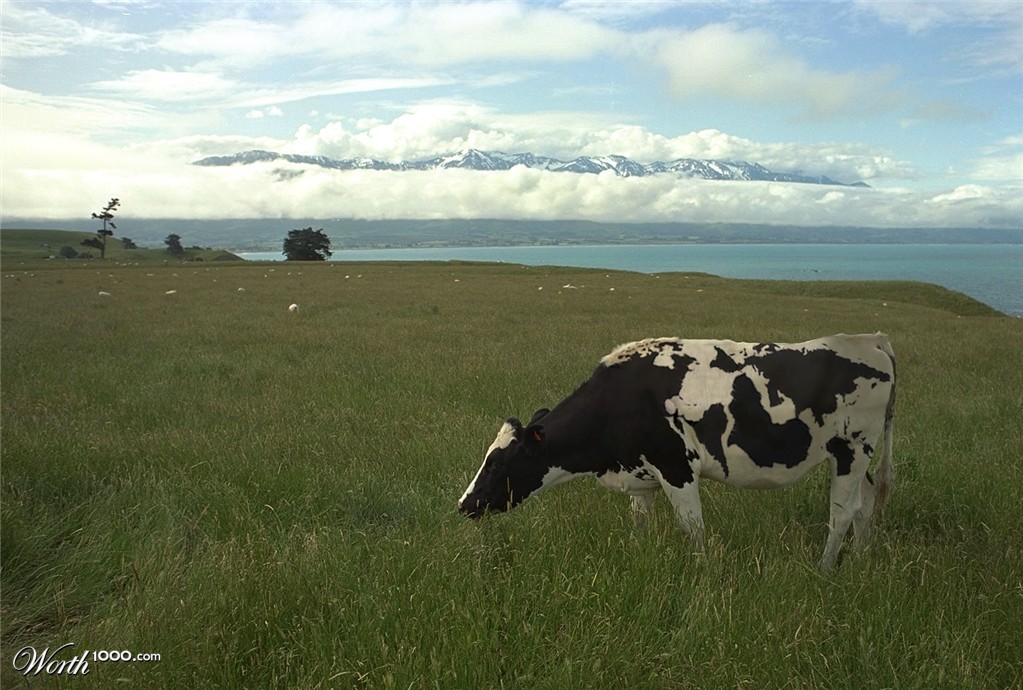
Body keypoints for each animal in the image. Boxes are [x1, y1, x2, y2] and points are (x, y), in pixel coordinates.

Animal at [458, 334, 896, 571]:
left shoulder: (676, 466)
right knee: (864, 503)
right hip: (858, 455)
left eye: (496, 463)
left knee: (842, 513)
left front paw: (702, 573)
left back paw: (824, 568)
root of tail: (870, 339)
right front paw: (639, 556)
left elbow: (692, 527)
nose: (464, 505)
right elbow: (640, 524)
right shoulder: (641, 476)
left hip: (851, 449)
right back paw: (861, 560)